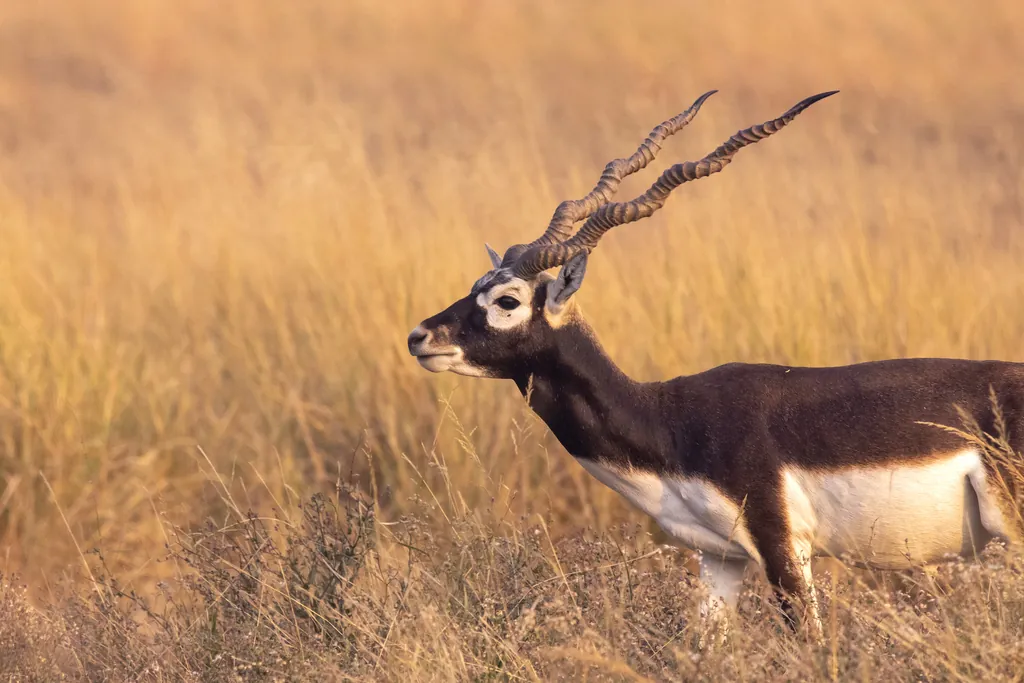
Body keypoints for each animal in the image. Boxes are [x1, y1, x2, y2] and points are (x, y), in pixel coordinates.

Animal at [406, 91, 1023, 636]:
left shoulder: (781, 546)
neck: (670, 421)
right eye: (476, 285)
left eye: (507, 300)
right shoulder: (720, 558)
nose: (420, 336)